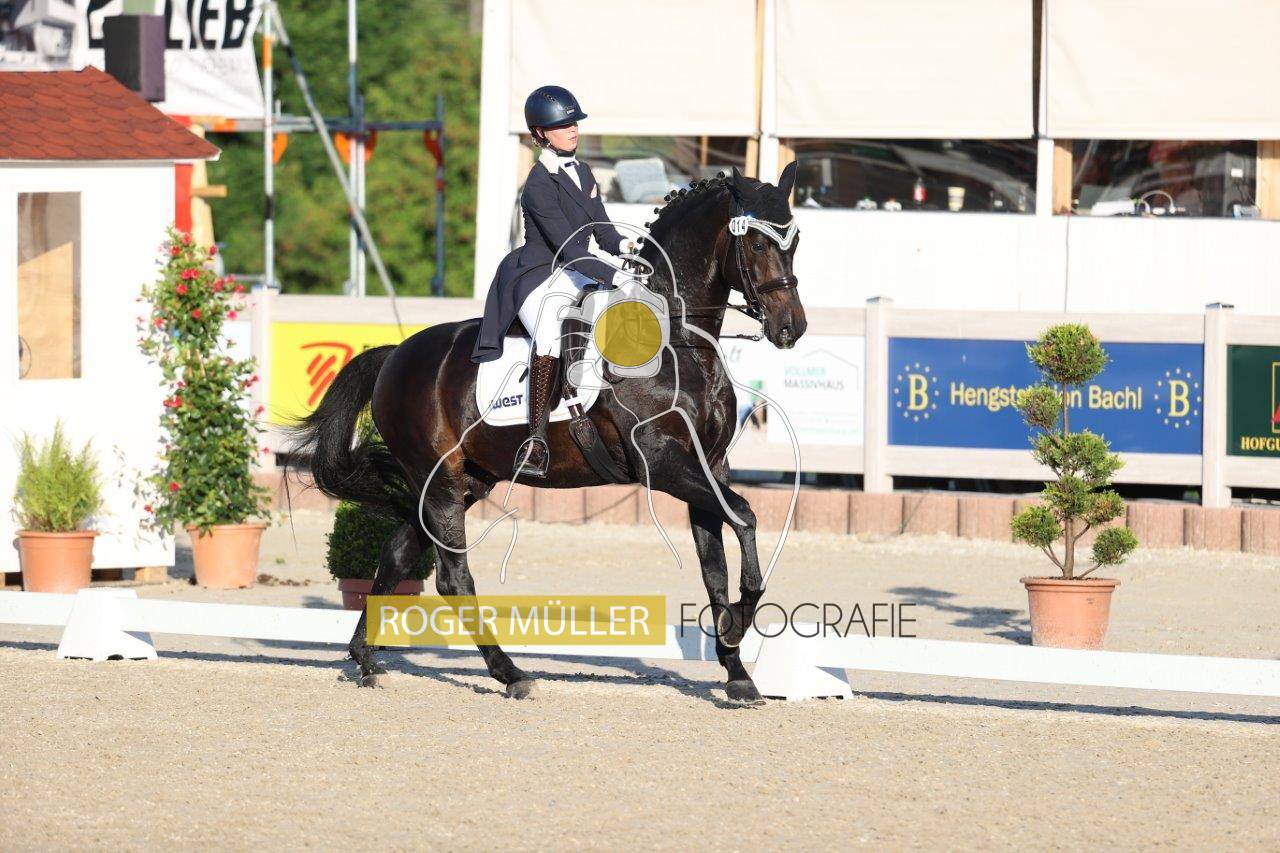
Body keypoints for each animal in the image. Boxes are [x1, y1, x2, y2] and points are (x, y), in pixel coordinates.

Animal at [288, 163, 807, 703]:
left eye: (793, 242)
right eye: (757, 243)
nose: (791, 328)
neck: (678, 341)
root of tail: (395, 356)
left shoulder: (708, 465)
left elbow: (715, 567)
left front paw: (737, 672)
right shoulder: (662, 463)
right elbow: (745, 516)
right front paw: (739, 624)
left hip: (463, 481)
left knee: (396, 553)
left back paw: (366, 660)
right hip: (440, 479)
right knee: (454, 578)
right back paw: (510, 673)